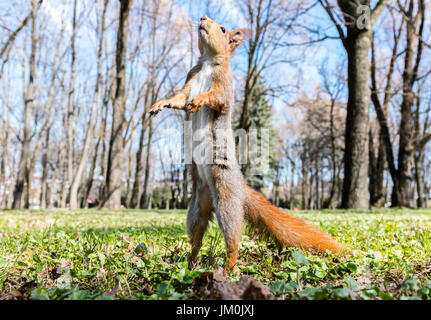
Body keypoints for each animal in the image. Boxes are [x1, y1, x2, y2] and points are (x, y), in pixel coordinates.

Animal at [150, 14, 352, 270]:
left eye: (223, 28)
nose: (203, 17)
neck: (207, 63)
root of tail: (240, 187)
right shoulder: (189, 80)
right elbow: (178, 99)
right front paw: (160, 104)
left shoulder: (224, 86)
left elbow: (216, 98)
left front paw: (201, 99)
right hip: (197, 205)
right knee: (197, 235)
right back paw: (190, 263)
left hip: (225, 196)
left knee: (232, 237)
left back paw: (228, 267)